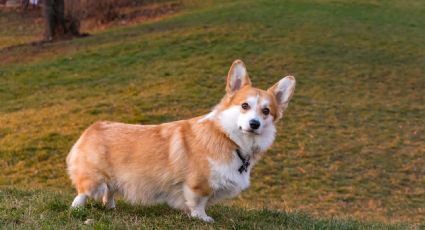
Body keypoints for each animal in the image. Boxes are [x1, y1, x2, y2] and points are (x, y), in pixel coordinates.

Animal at [66, 60, 294, 222]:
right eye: (245, 106)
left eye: (266, 111)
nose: (254, 124)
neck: (229, 138)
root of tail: (92, 128)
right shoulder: (198, 184)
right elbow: (198, 202)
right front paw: (203, 218)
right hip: (93, 177)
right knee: (83, 193)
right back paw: (77, 209)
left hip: (114, 178)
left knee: (110, 192)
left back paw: (111, 207)